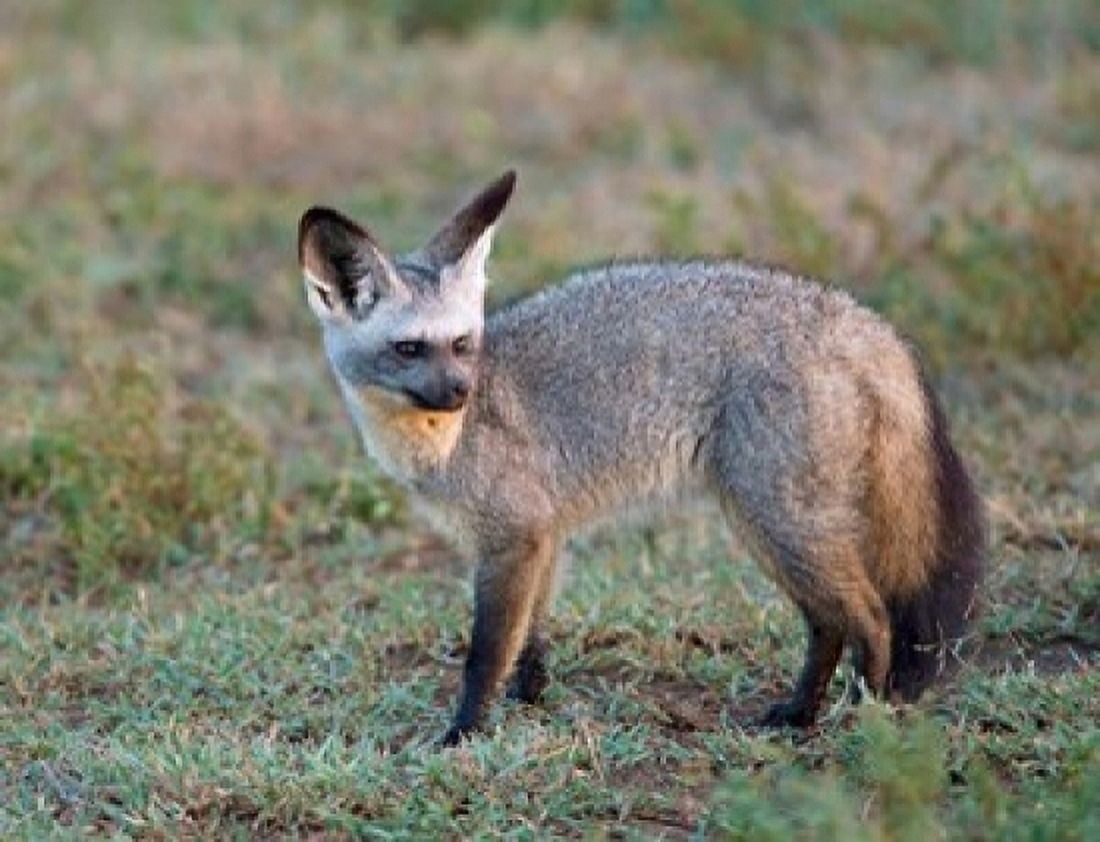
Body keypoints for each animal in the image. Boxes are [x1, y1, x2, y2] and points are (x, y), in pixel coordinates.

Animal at [297, 170, 984, 746]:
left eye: (463, 344)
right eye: (409, 348)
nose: (461, 393)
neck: (438, 442)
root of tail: (863, 321)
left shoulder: (513, 539)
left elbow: (485, 654)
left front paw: (463, 733)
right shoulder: (544, 537)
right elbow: (531, 639)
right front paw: (529, 701)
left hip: (776, 522)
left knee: (871, 618)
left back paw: (867, 714)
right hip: (773, 527)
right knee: (828, 624)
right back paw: (799, 714)